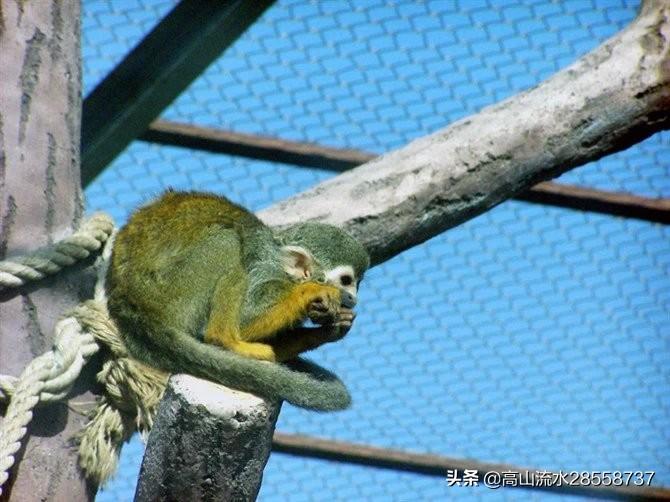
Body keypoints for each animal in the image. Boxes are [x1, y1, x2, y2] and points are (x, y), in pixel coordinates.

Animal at [107, 190, 370, 402]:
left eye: (357, 284)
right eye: (346, 281)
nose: (353, 298)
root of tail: (130, 309)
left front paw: (329, 330)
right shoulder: (265, 272)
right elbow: (246, 319)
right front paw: (311, 291)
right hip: (170, 292)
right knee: (227, 242)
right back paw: (225, 340)